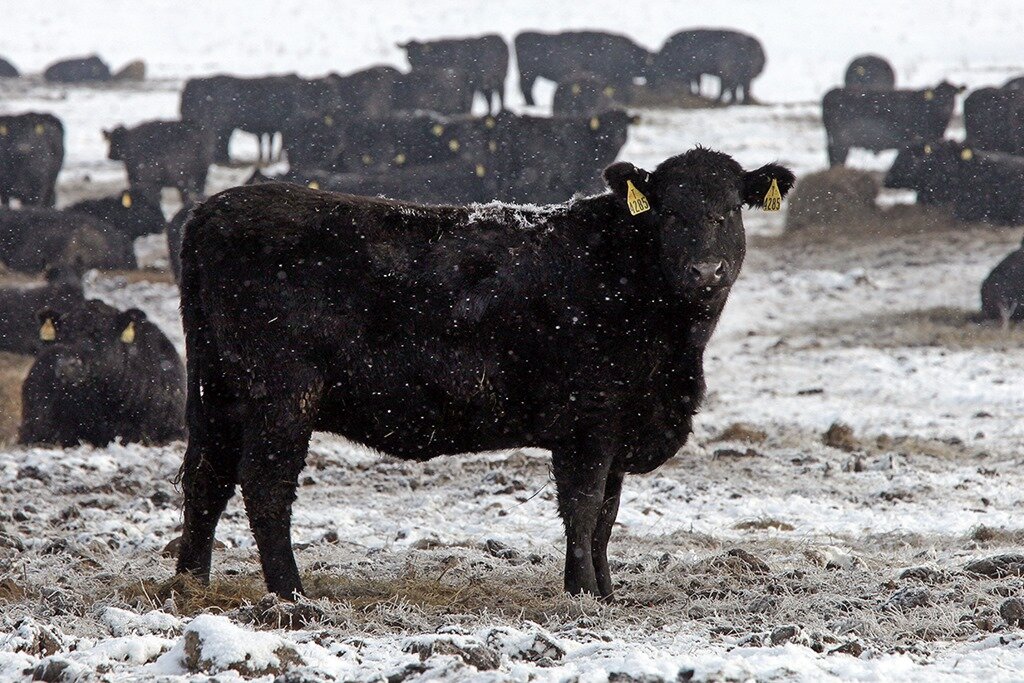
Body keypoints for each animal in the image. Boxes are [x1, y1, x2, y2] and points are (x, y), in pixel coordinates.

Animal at [172, 148, 794, 598]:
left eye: (730, 208)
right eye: (668, 210)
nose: (705, 269)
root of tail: (213, 210)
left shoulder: (620, 422)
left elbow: (607, 515)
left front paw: (609, 592)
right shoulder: (589, 419)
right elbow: (584, 506)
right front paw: (583, 593)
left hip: (216, 392)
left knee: (206, 479)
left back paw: (190, 585)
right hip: (282, 394)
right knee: (265, 486)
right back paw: (293, 597)